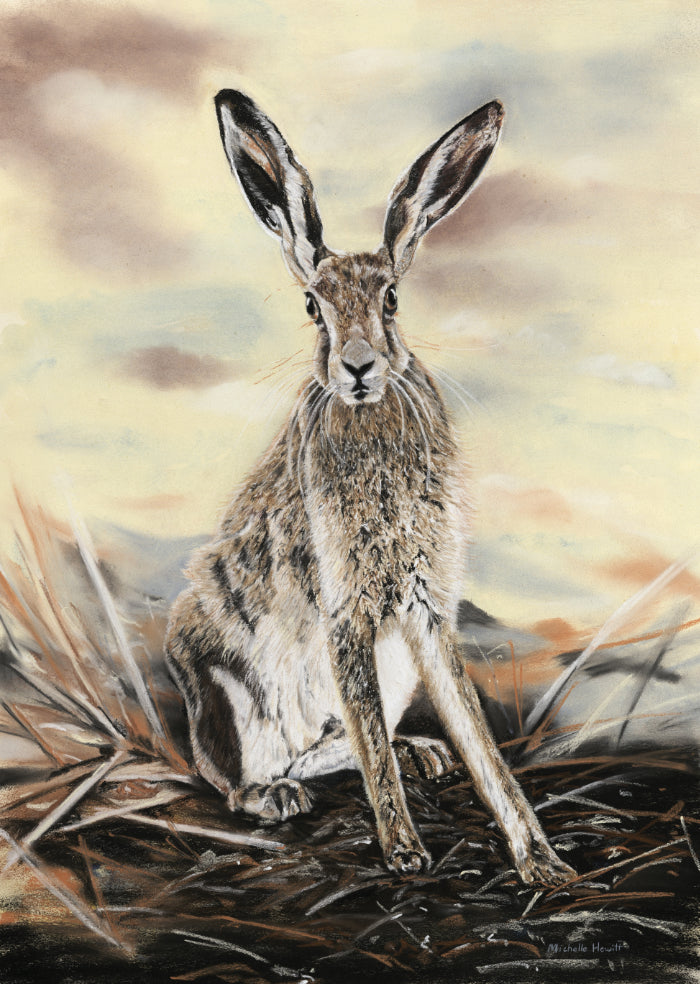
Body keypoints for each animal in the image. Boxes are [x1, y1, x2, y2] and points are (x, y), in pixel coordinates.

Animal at [165, 89, 574, 886]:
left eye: (391, 298)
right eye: (311, 306)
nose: (357, 367)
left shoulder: (427, 609)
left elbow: (474, 737)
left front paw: (542, 861)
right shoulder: (344, 610)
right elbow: (373, 746)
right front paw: (407, 852)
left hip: (393, 669)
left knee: (345, 739)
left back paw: (421, 754)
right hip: (227, 696)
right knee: (250, 774)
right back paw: (276, 797)